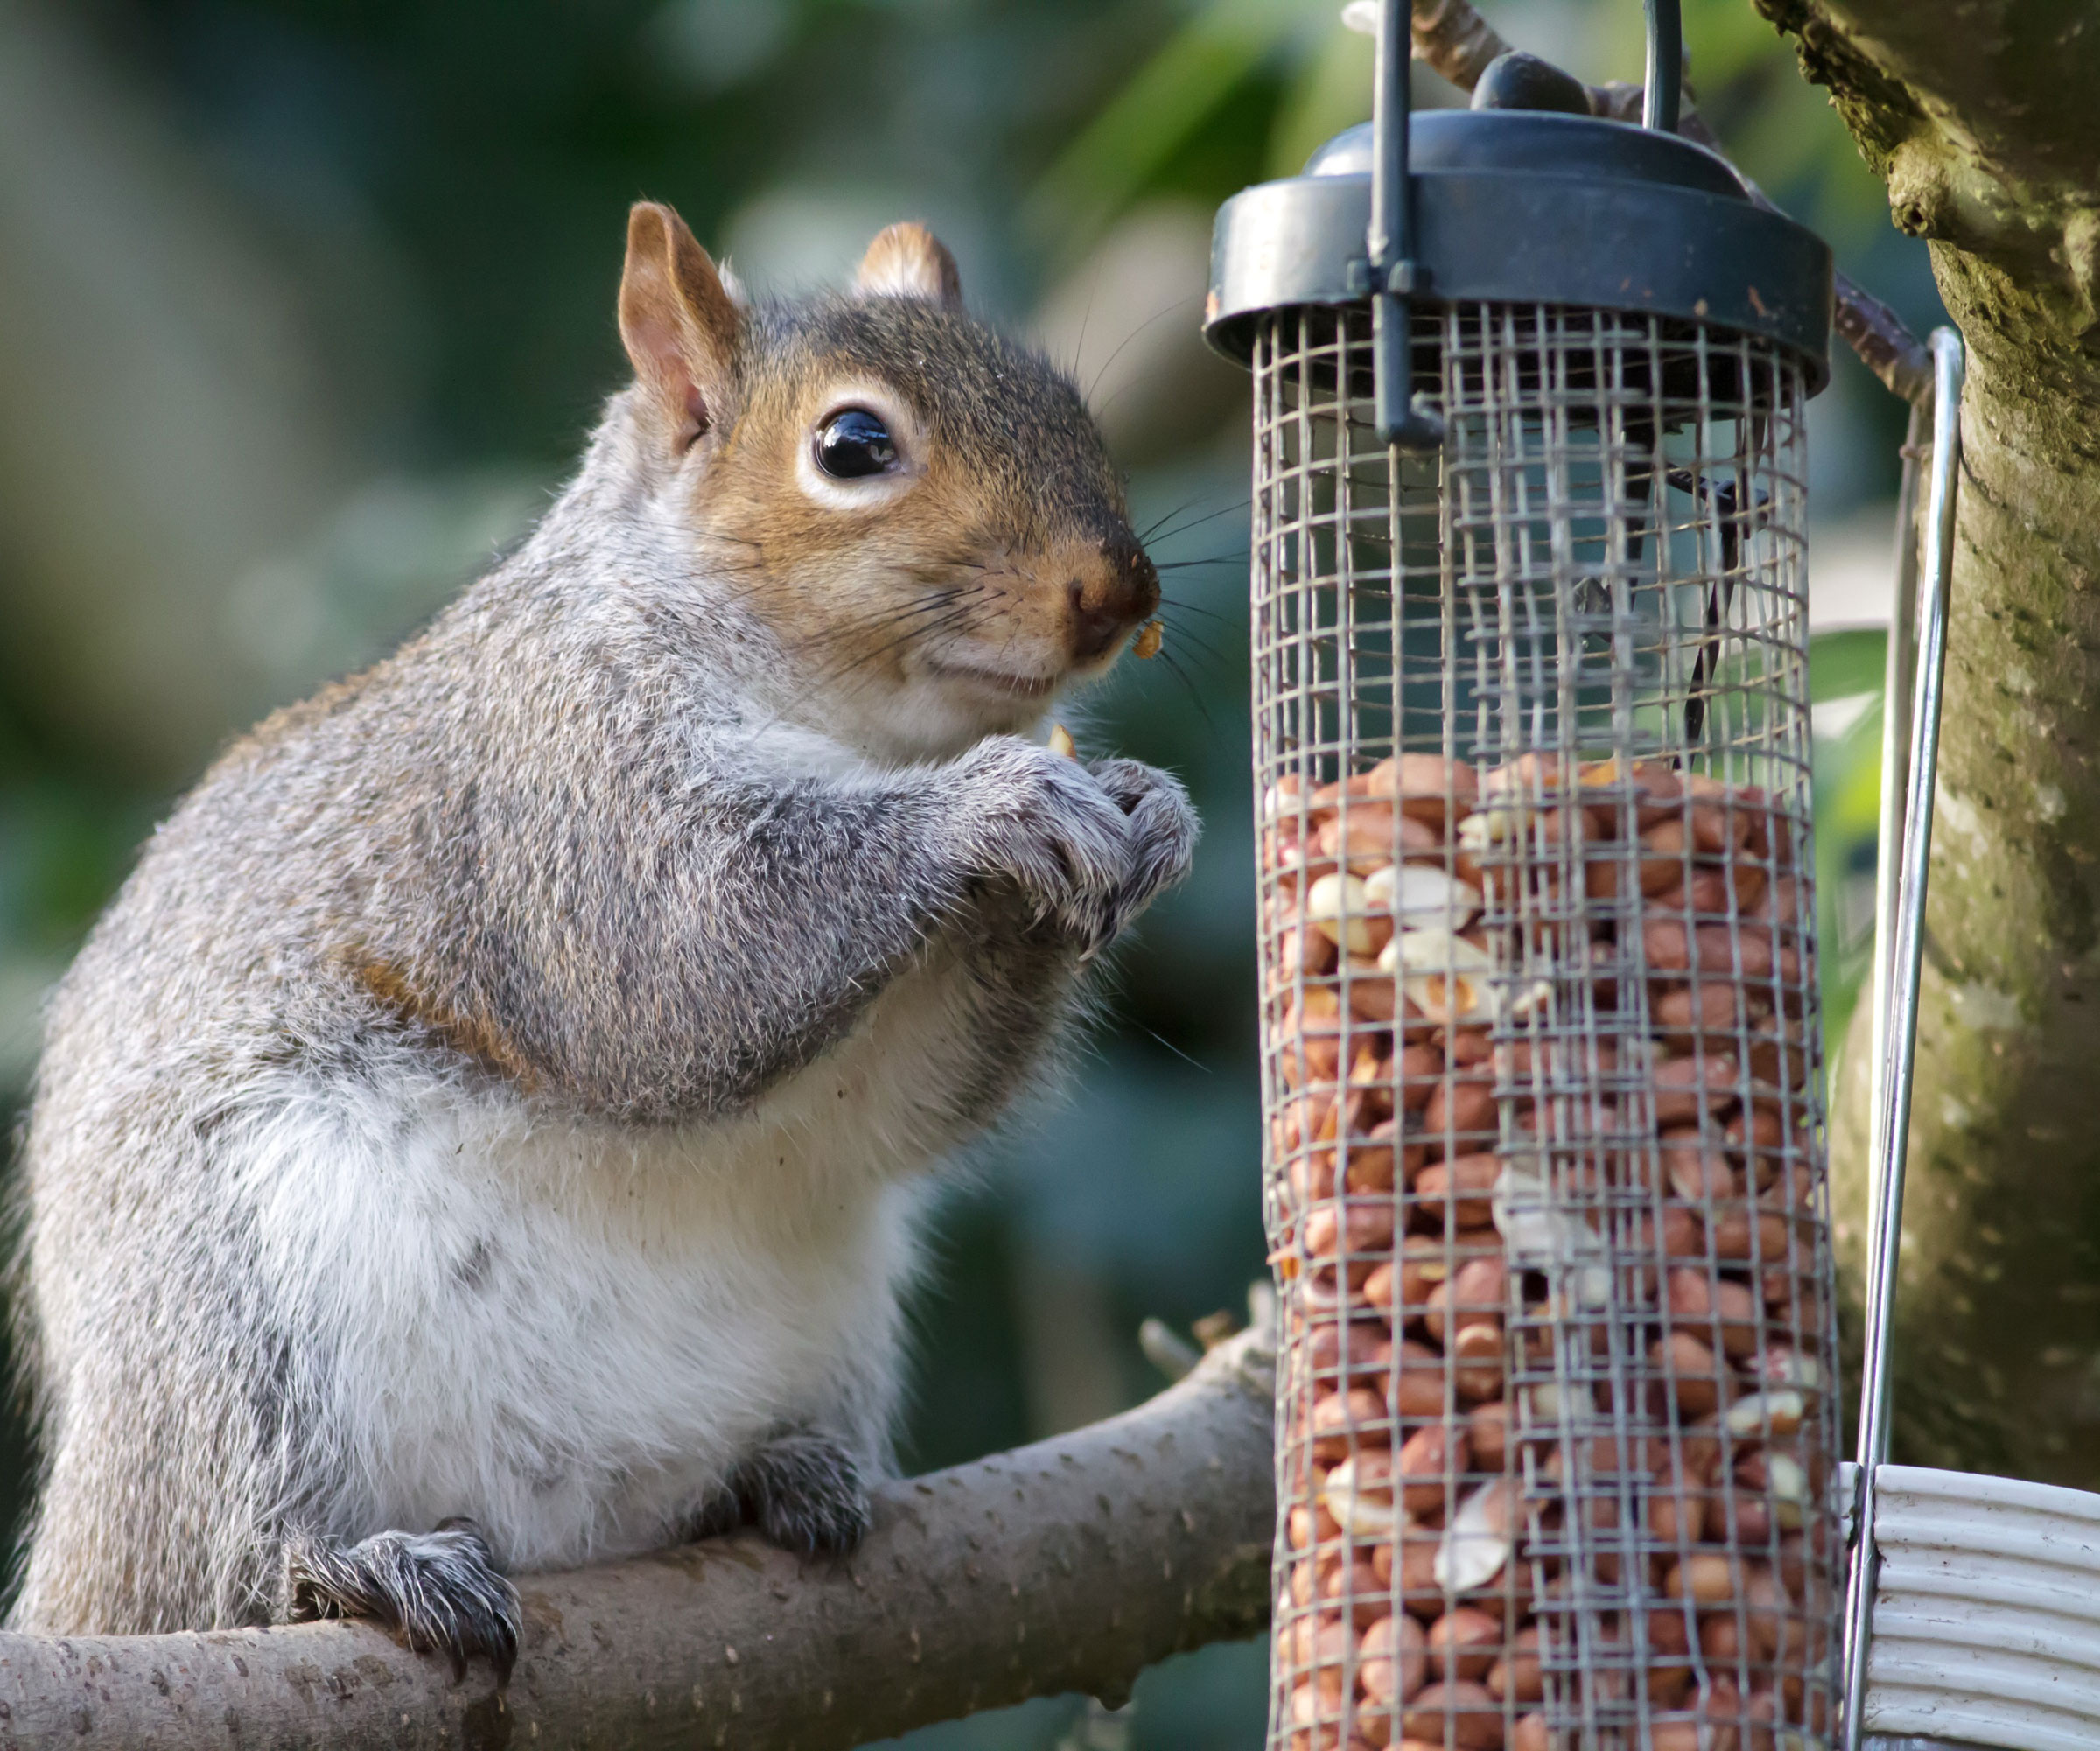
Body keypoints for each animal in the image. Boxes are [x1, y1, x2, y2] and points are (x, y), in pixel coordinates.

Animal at [7, 201, 1198, 1672]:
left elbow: (903, 1103)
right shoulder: (557, 794)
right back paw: (353, 1563)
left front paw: (1151, 810)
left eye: (1067, 401)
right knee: (229, 1550)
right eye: (853, 447)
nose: (1119, 592)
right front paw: (999, 803)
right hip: (226, 1327)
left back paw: (775, 1477)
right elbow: (685, 958)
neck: (852, 731)